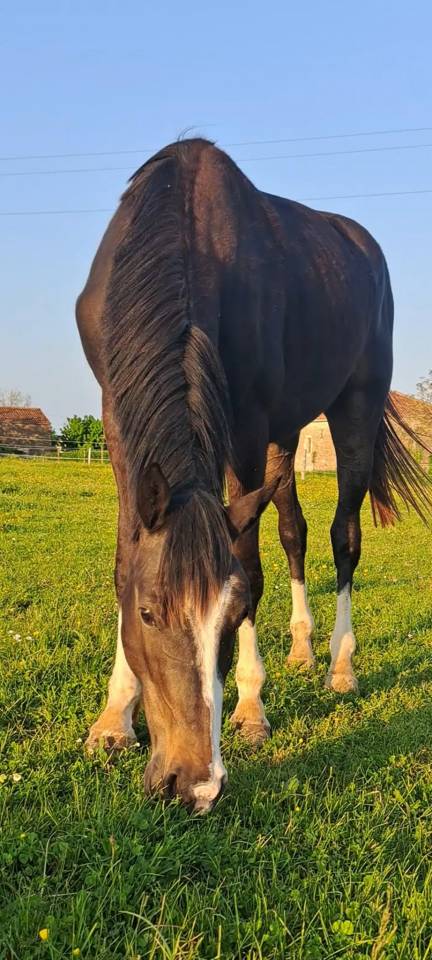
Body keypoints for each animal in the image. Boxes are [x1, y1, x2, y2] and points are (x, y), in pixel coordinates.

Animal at [76, 137, 430, 813]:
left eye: (232, 612)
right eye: (149, 614)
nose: (194, 786)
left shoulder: (245, 427)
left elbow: (248, 561)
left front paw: (249, 707)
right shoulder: (116, 418)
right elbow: (124, 559)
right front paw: (113, 719)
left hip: (353, 407)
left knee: (342, 537)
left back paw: (338, 666)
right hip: (284, 434)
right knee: (293, 530)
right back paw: (301, 647)